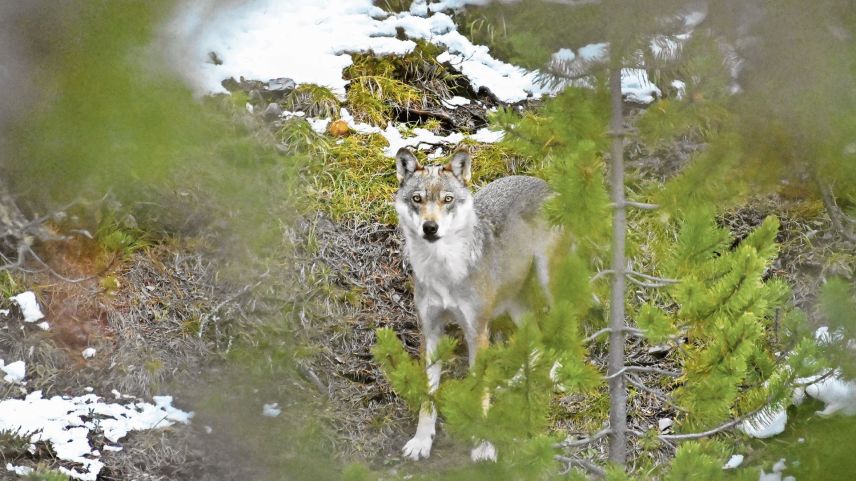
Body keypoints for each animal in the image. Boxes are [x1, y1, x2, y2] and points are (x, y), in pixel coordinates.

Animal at [392, 147, 556, 462]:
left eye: (447, 199)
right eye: (417, 199)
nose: (430, 228)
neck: (443, 270)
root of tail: (544, 182)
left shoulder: (476, 332)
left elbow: (480, 391)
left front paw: (483, 446)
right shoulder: (431, 331)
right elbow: (428, 395)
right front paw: (421, 441)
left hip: (548, 281)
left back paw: (559, 372)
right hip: (514, 303)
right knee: (537, 341)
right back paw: (512, 381)